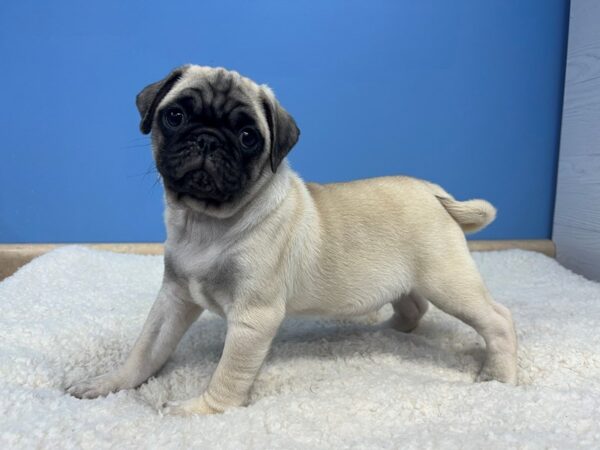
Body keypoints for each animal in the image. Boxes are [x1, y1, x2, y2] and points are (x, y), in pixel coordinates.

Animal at [68, 64, 516, 414]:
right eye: (175, 116)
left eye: (248, 137)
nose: (207, 138)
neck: (206, 222)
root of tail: (435, 192)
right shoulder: (174, 298)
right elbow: (146, 350)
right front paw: (110, 384)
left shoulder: (253, 317)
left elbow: (229, 372)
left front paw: (203, 411)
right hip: (410, 280)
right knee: (413, 305)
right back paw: (388, 331)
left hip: (448, 281)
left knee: (497, 319)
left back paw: (497, 375)